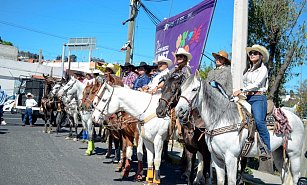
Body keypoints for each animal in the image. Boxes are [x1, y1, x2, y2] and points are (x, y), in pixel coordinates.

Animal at [176, 72, 306, 185]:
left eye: (194, 89)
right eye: (181, 89)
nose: (179, 110)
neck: (221, 119)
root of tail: (297, 118)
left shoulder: (231, 158)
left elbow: (231, 181)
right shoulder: (216, 158)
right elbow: (220, 181)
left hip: (294, 155)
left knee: (295, 177)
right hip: (278, 154)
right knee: (284, 175)